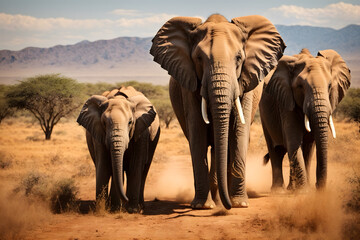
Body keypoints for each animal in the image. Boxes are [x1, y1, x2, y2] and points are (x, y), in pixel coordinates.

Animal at [76, 86, 160, 214]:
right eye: (104, 123)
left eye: (130, 122)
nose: (126, 199)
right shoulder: (99, 133)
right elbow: (104, 165)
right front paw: (102, 210)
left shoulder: (141, 131)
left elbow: (135, 165)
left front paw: (131, 210)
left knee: (144, 169)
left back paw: (139, 207)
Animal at [150, 14, 286, 208]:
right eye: (199, 58)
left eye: (239, 58)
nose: (228, 206)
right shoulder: (189, 83)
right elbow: (197, 131)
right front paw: (202, 206)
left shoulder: (246, 82)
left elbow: (238, 132)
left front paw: (239, 204)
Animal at [260, 48, 350, 191]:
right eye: (300, 86)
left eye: (330, 86)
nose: (319, 186)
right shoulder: (285, 101)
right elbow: (293, 140)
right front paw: (304, 191)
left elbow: (309, 144)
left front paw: (306, 189)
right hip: (264, 115)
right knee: (275, 150)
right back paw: (279, 190)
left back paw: (290, 189)